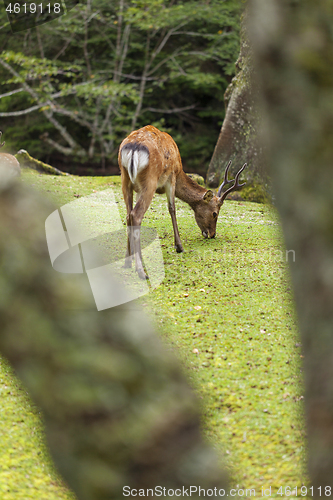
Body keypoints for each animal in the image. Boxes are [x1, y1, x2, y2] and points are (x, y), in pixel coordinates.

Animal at [118, 124, 245, 280]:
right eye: (215, 213)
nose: (212, 234)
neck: (180, 170)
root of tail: (134, 147)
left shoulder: (137, 188)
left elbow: (129, 216)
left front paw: (127, 259)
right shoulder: (171, 177)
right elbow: (172, 209)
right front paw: (179, 247)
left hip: (125, 180)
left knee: (129, 215)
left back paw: (129, 262)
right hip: (150, 180)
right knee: (136, 215)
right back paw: (142, 271)